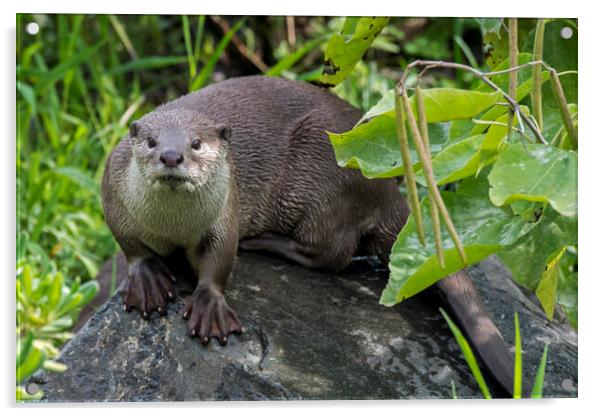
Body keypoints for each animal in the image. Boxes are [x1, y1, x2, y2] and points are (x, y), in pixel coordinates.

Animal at [102, 75, 510, 394]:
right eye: (151, 141)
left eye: (196, 144)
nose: (171, 156)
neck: (171, 225)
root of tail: (387, 189)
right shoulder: (113, 197)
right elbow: (131, 245)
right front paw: (147, 279)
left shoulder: (224, 214)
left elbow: (219, 259)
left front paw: (209, 307)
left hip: (319, 172)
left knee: (332, 251)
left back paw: (264, 242)